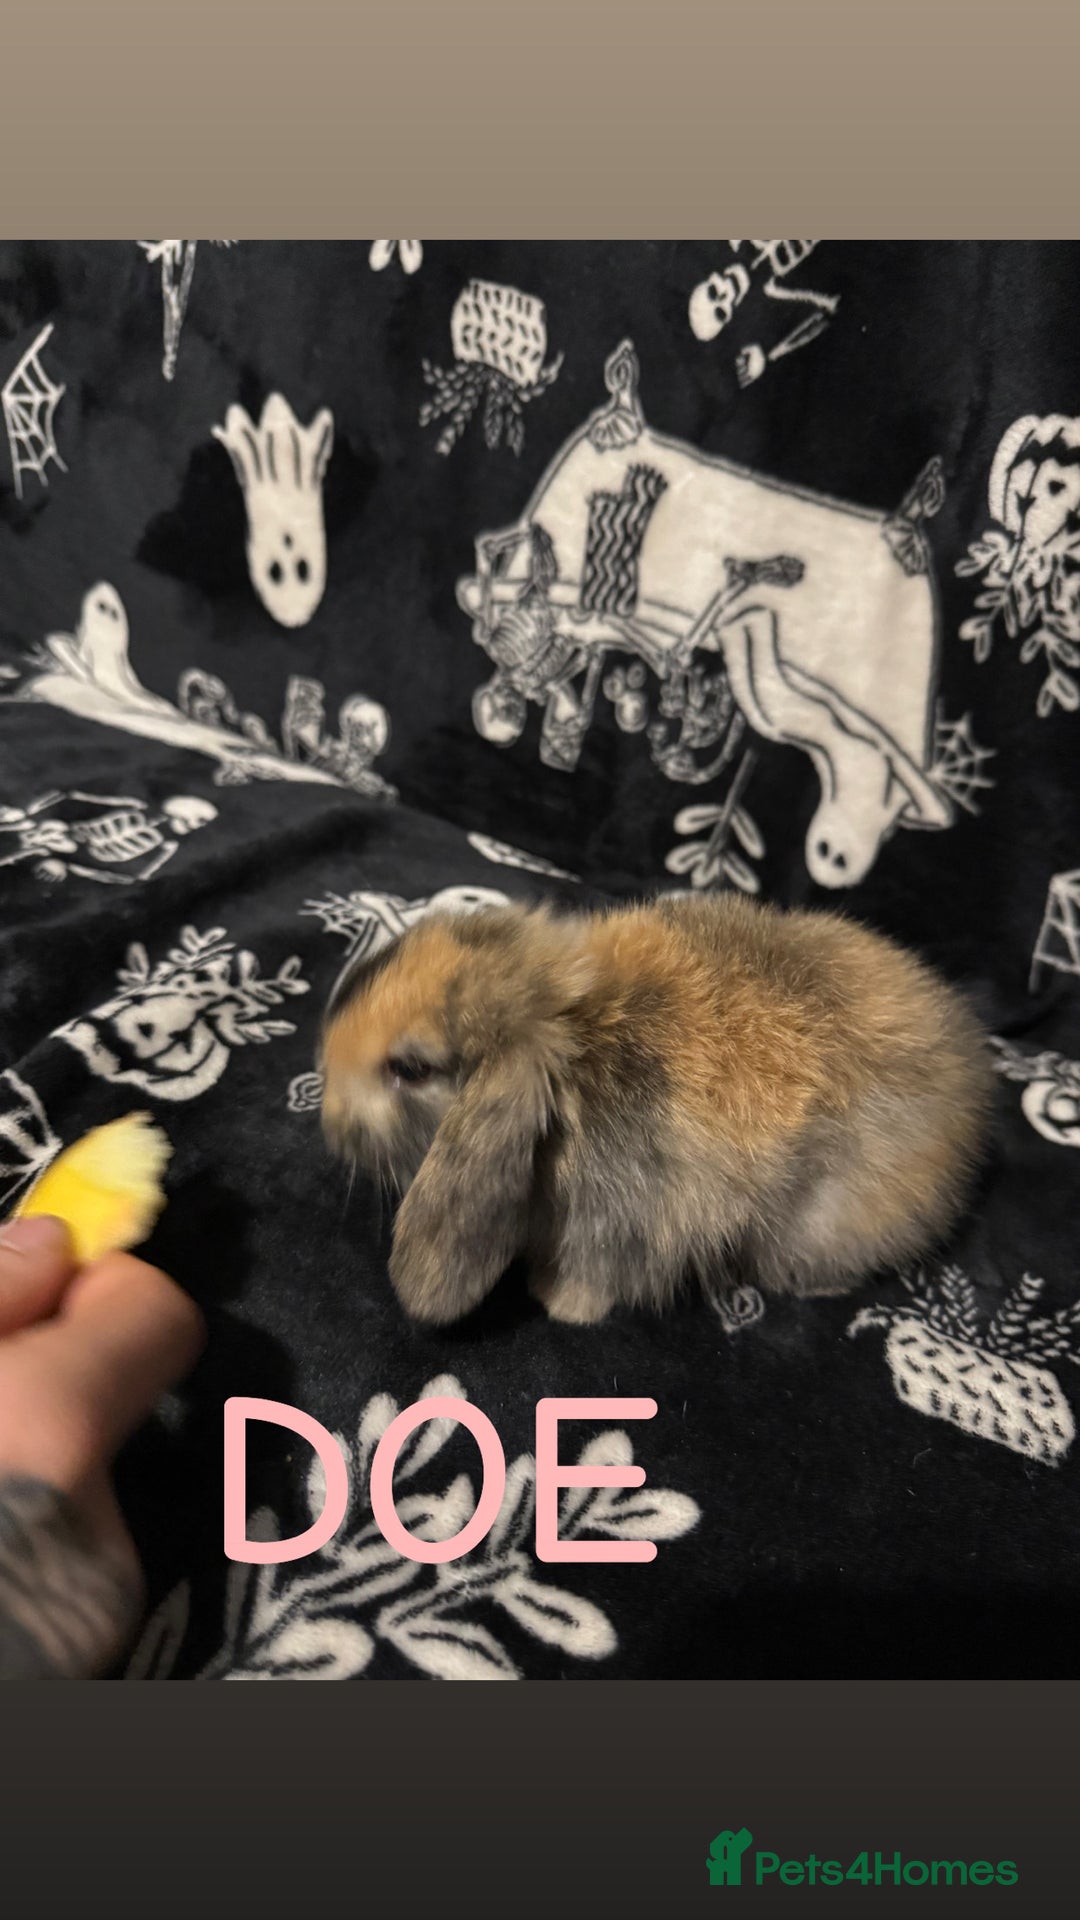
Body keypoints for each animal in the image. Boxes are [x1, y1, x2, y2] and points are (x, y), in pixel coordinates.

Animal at [318, 894, 995, 1326]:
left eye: (410, 1069)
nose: (329, 1121)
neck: (573, 1046)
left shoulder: (622, 1221)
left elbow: (597, 1274)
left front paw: (557, 1303)